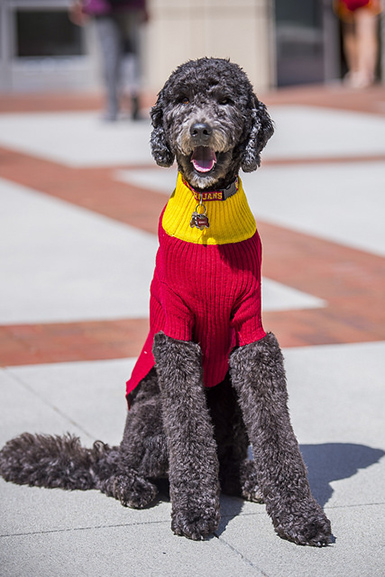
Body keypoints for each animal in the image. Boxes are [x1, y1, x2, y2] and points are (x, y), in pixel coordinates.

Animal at [0, 57, 330, 544]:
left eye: (225, 100)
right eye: (181, 101)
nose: (199, 129)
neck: (207, 212)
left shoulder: (252, 338)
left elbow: (275, 427)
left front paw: (300, 517)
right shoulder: (174, 335)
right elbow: (188, 435)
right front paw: (193, 512)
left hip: (227, 400)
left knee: (224, 461)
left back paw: (249, 481)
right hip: (151, 414)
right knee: (117, 471)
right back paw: (135, 486)